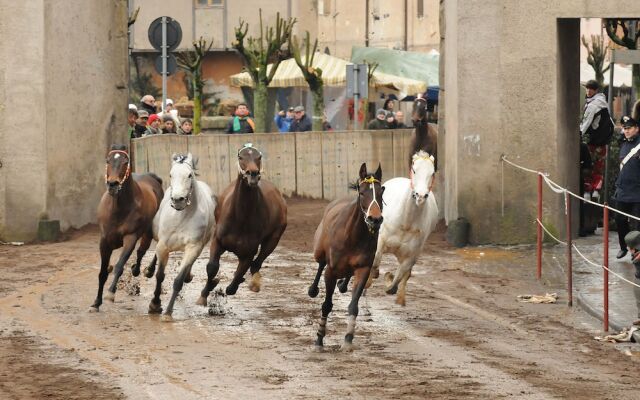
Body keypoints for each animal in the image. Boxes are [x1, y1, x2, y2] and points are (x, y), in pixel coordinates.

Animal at [91, 144, 164, 312]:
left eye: (125, 162)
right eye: (108, 160)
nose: (113, 184)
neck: (118, 208)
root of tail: (153, 178)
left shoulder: (130, 237)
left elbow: (119, 266)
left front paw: (110, 293)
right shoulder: (104, 241)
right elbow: (102, 273)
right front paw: (96, 303)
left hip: (151, 231)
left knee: (150, 249)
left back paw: (148, 270)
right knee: (141, 251)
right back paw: (137, 269)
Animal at [144, 153, 215, 322]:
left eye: (189, 175)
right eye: (171, 174)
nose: (177, 199)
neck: (182, 216)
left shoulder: (193, 247)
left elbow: (178, 281)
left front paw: (168, 313)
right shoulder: (163, 245)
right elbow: (160, 276)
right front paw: (155, 304)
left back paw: (188, 275)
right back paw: (148, 270)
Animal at [195, 142, 284, 302]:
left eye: (258, 156)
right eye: (241, 157)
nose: (252, 174)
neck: (241, 218)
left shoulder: (248, 253)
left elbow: (235, 280)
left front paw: (235, 283)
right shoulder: (217, 240)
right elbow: (212, 267)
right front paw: (205, 294)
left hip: (274, 238)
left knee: (257, 263)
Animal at [310, 162, 384, 350]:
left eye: (381, 192)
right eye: (362, 192)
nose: (375, 219)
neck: (354, 235)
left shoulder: (364, 268)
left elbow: (353, 306)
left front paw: (348, 338)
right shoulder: (331, 270)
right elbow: (327, 305)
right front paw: (319, 338)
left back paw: (343, 284)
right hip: (319, 249)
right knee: (320, 263)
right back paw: (313, 289)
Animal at [368, 150, 438, 306]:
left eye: (432, 172)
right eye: (414, 170)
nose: (420, 196)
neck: (406, 223)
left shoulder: (411, 256)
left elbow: (398, 279)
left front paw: (390, 280)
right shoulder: (380, 241)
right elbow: (374, 262)